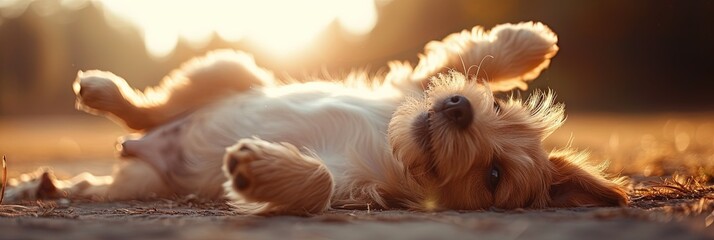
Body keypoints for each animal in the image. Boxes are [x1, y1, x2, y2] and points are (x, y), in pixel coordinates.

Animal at [9, 22, 624, 214]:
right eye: (496, 108)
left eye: (494, 175)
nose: (462, 109)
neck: (390, 143)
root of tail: (149, 151)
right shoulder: (409, 87)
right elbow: (463, 59)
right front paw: (529, 42)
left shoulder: (354, 191)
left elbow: (320, 181)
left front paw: (260, 171)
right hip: (232, 66)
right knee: (147, 110)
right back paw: (103, 91)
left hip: (146, 178)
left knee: (109, 170)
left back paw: (45, 186)